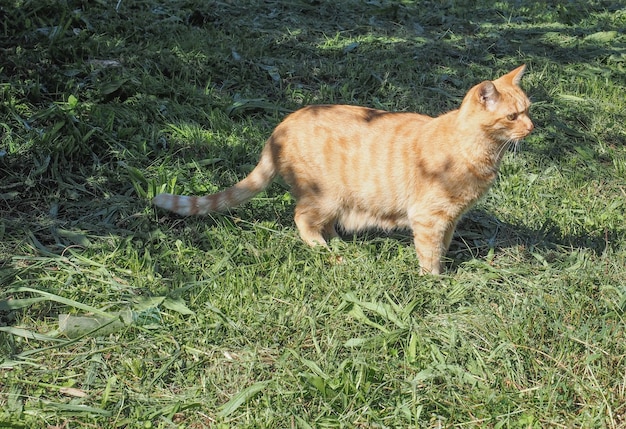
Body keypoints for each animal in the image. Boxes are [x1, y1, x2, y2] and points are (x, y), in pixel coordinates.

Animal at [154, 66, 528, 274]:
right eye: (512, 117)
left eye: (529, 110)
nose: (532, 127)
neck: (478, 151)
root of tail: (281, 126)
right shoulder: (429, 217)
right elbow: (429, 252)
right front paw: (434, 278)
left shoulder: (450, 218)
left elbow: (444, 245)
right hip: (324, 197)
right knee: (302, 219)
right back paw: (323, 248)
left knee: (324, 223)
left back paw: (338, 242)